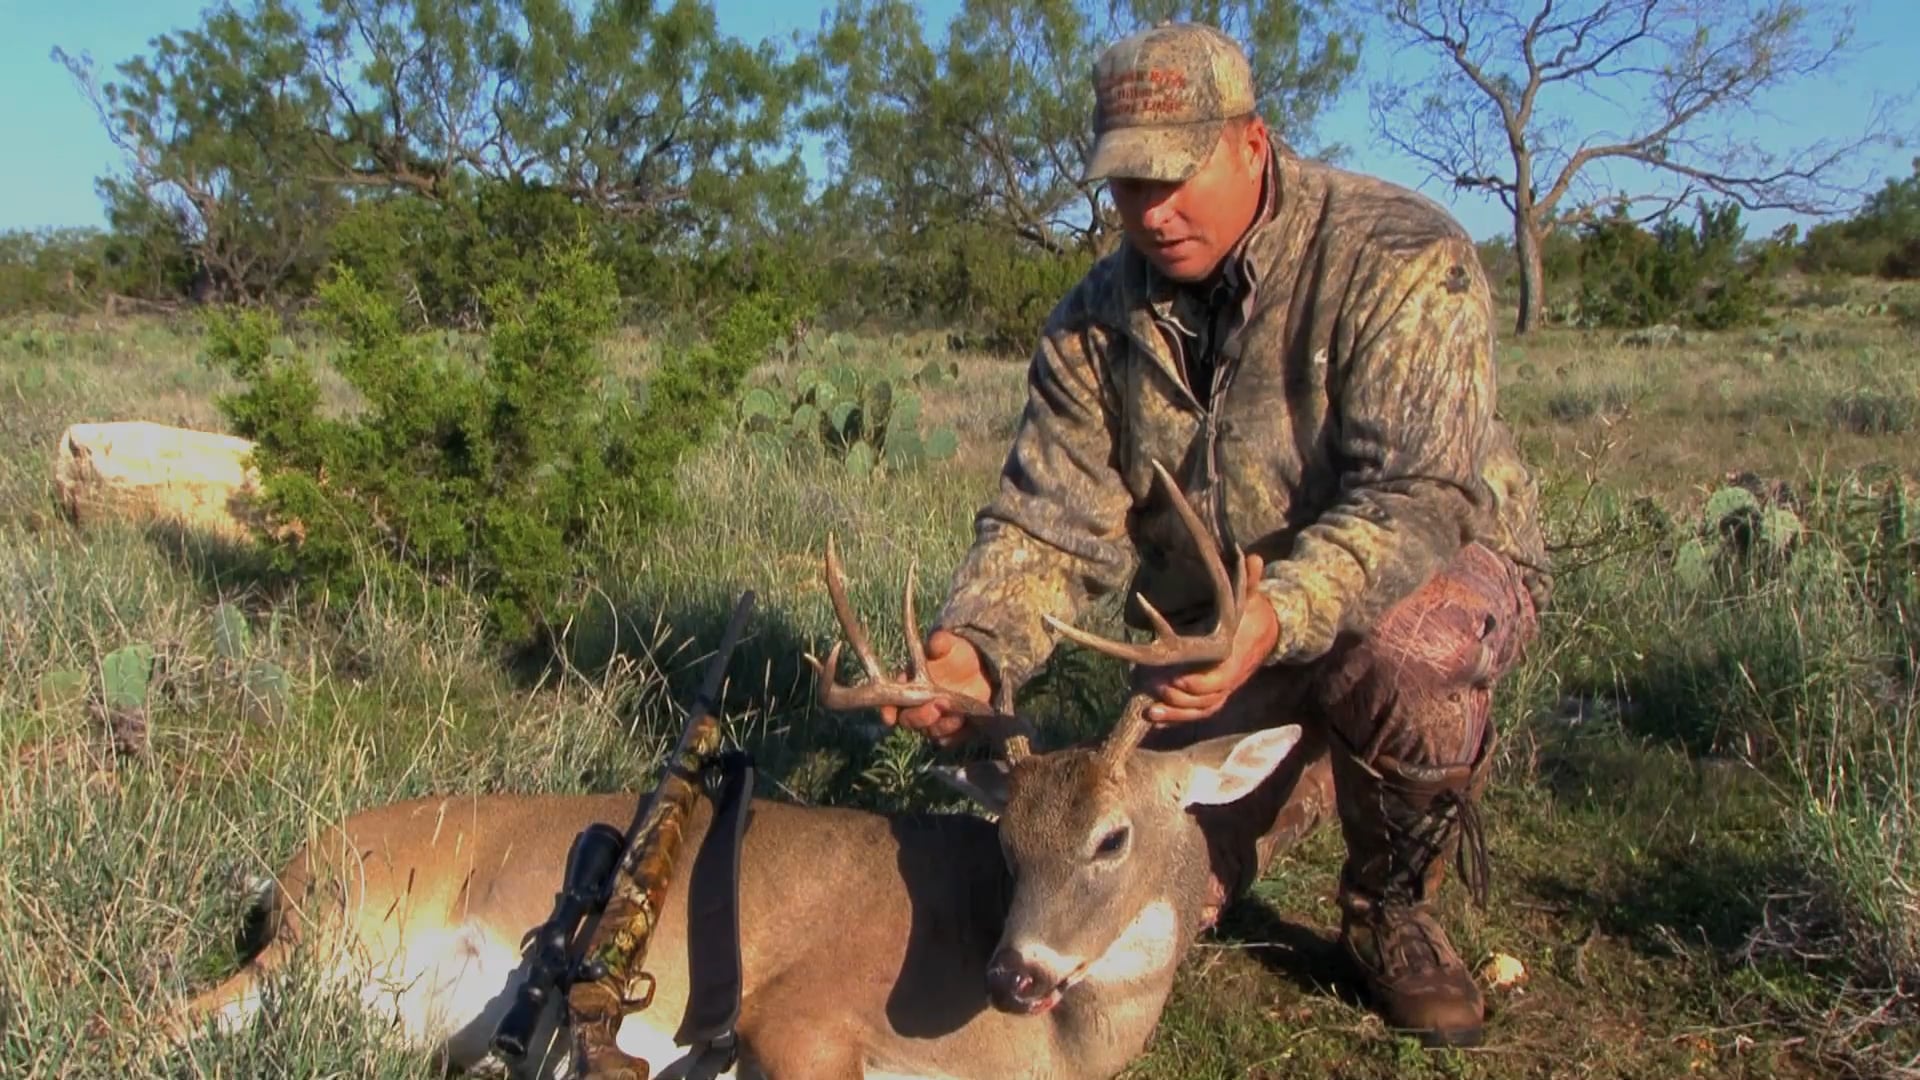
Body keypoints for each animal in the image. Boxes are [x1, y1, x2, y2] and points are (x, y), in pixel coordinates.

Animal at [162, 463, 1302, 1080]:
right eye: (1010, 845)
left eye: (1112, 837)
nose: (1014, 974)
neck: (1050, 1051)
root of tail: (289, 871)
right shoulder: (797, 1017)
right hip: (328, 943)